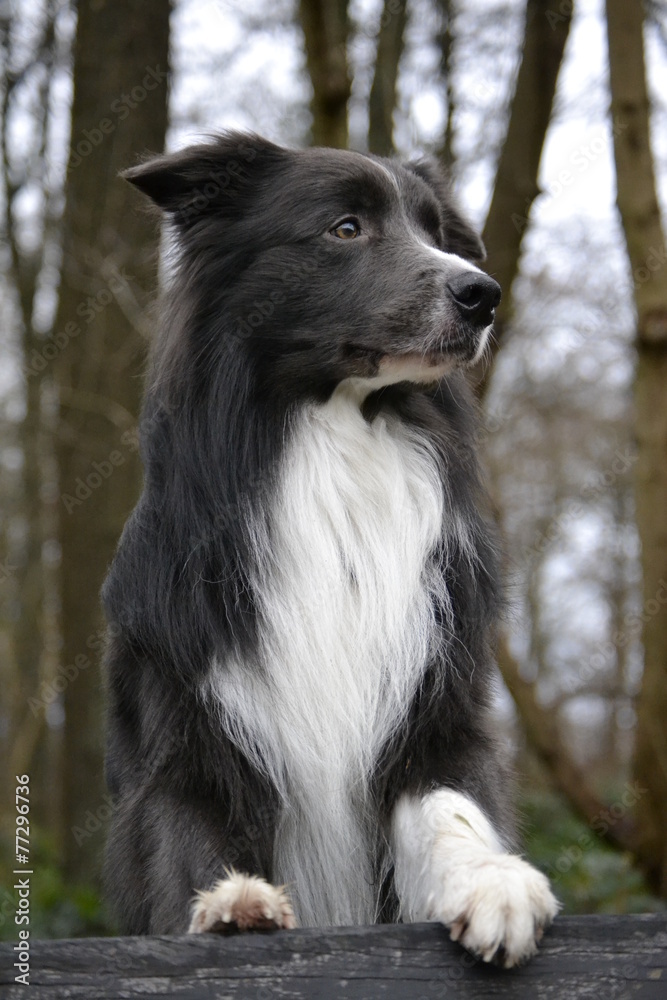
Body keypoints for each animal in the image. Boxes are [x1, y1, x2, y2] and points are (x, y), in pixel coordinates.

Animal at [100, 129, 560, 964]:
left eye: (435, 233)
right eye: (345, 228)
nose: (483, 293)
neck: (334, 442)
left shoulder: (434, 704)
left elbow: (451, 804)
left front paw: (493, 882)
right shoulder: (180, 727)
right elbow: (186, 830)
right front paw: (230, 901)